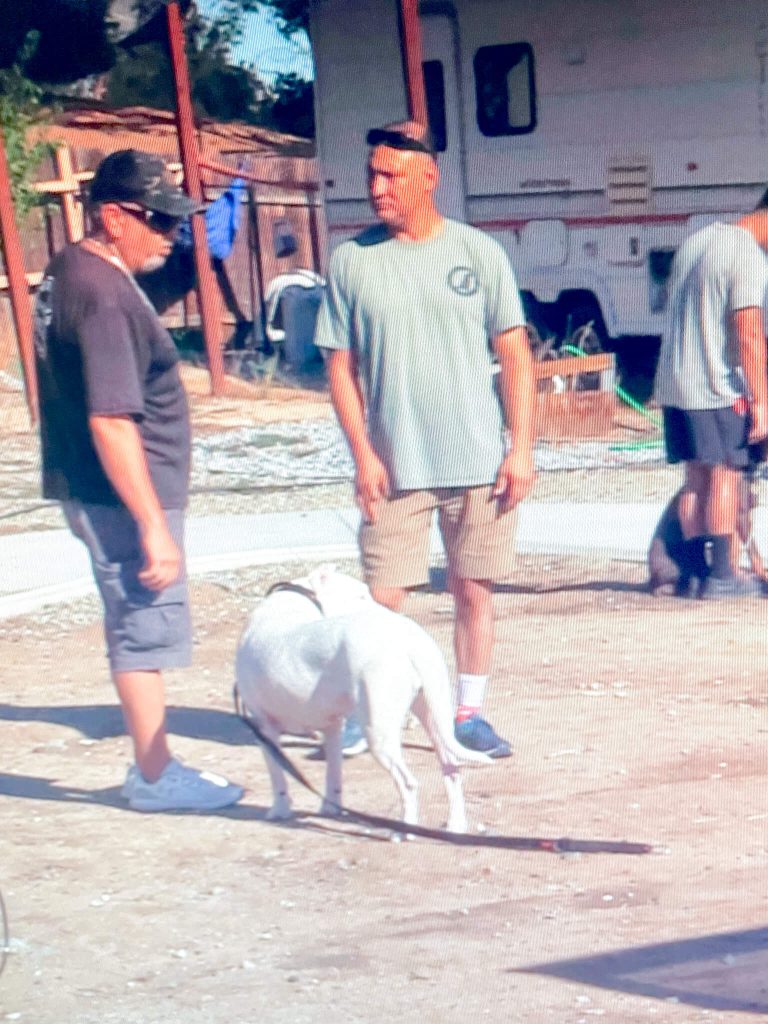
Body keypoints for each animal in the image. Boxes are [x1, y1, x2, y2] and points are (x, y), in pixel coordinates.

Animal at [234, 565, 489, 835]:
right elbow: (333, 771)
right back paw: (456, 825)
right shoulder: (332, 727)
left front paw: (279, 810)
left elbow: (278, 776)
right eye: (361, 596)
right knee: (451, 769)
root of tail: (408, 640)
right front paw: (331, 807)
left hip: (379, 732)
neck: (299, 598)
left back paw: (404, 830)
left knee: (408, 783)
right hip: (433, 710)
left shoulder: (265, 728)